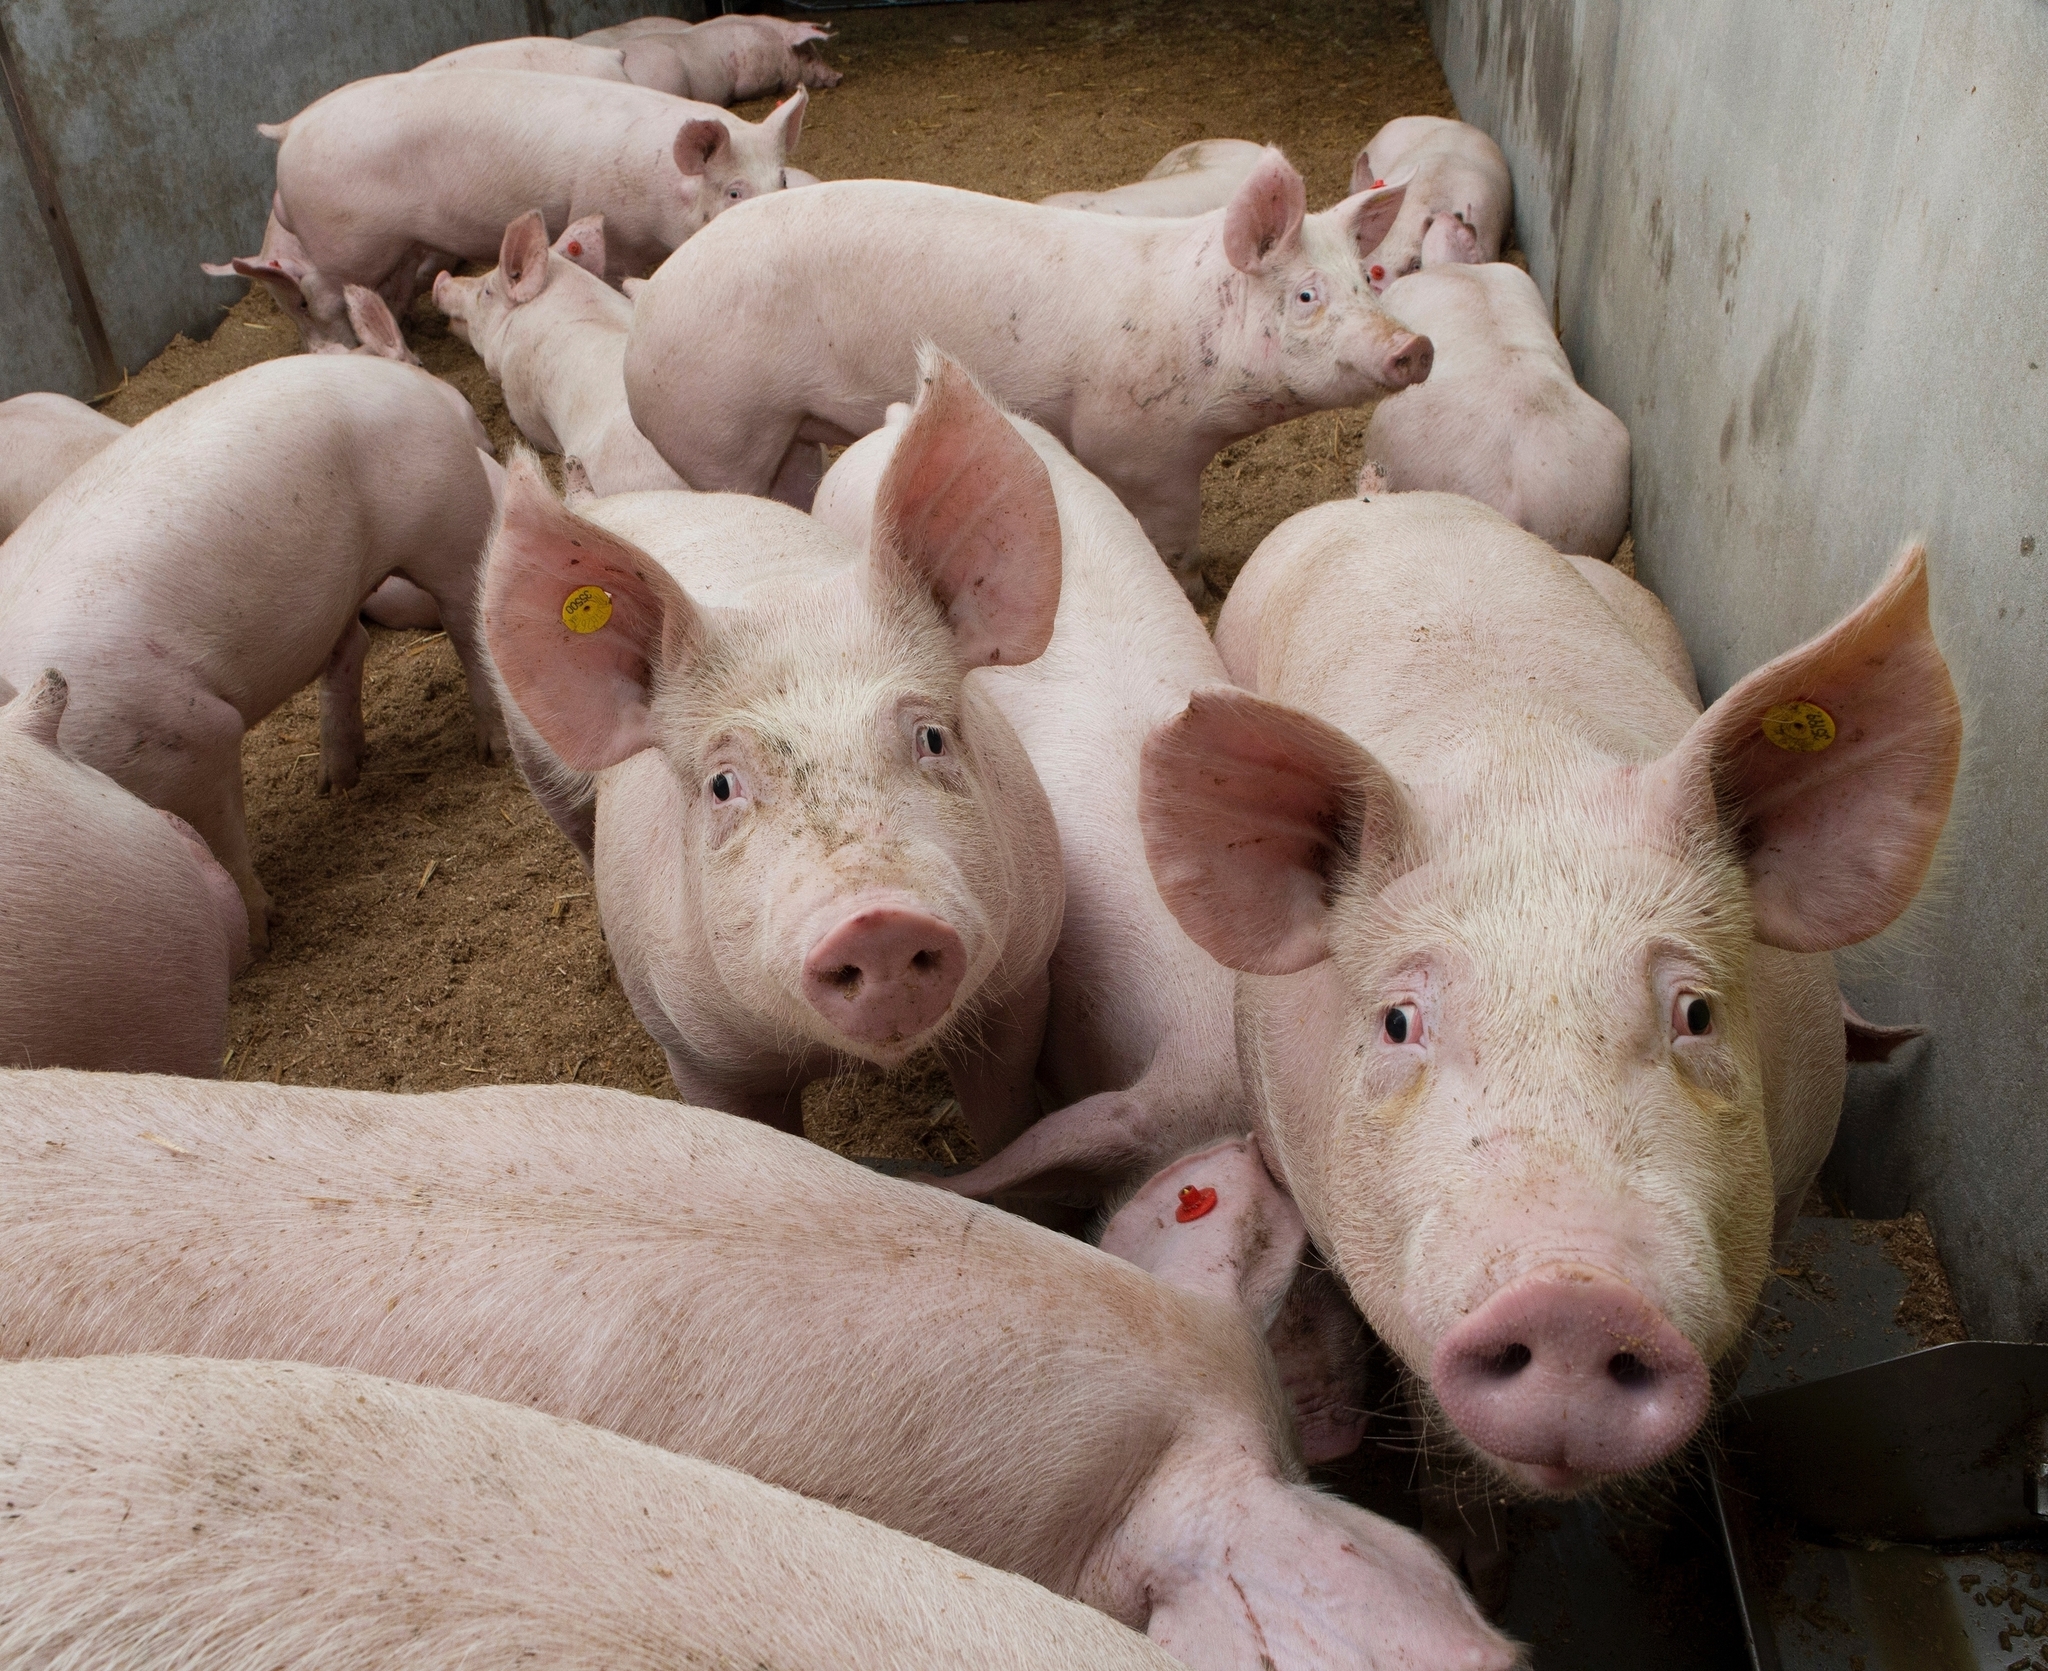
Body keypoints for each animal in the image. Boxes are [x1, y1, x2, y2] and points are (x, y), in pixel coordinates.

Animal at [220, 72, 804, 350]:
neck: (662, 185)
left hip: (395, 247)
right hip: (345, 242)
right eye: (733, 193)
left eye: (780, 179)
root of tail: (291, 129)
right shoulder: (610, 219)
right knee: (320, 297)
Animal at [482, 364, 1068, 1150]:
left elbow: (1005, 1112)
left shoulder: (1023, 980)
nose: (877, 921)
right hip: (536, 762)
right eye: (723, 785)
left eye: (933, 738)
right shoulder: (699, 1053)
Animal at [625, 147, 1431, 599]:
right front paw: (1199, 590)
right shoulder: (1141, 446)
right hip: (721, 431)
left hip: (788, 432)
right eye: (1306, 296)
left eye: (1365, 281)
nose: (1415, 347)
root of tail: (646, 312)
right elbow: (1173, 536)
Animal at [1142, 491, 1960, 1496]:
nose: (1573, 1296)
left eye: (1696, 1012)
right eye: (1398, 1022)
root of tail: (1380, 491)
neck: (1520, 759)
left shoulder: (1796, 1178)